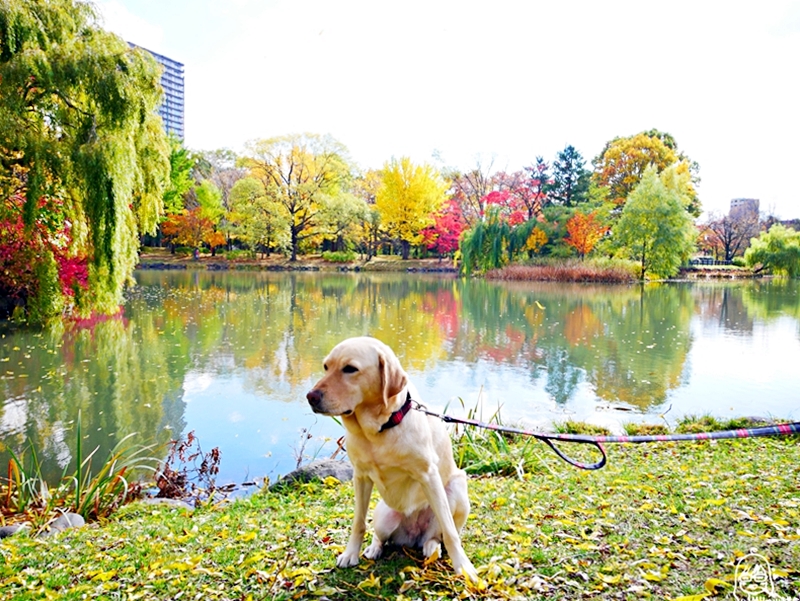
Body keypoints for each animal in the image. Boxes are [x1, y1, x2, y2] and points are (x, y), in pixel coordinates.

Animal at [306, 336, 476, 580]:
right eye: (326, 367)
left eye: (350, 369)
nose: (310, 397)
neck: (378, 429)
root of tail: (413, 536)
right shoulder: (360, 476)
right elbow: (358, 523)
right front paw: (350, 554)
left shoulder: (429, 476)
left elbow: (450, 532)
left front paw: (463, 566)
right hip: (384, 514)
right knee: (380, 536)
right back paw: (374, 548)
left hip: (458, 488)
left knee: (439, 533)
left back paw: (431, 547)